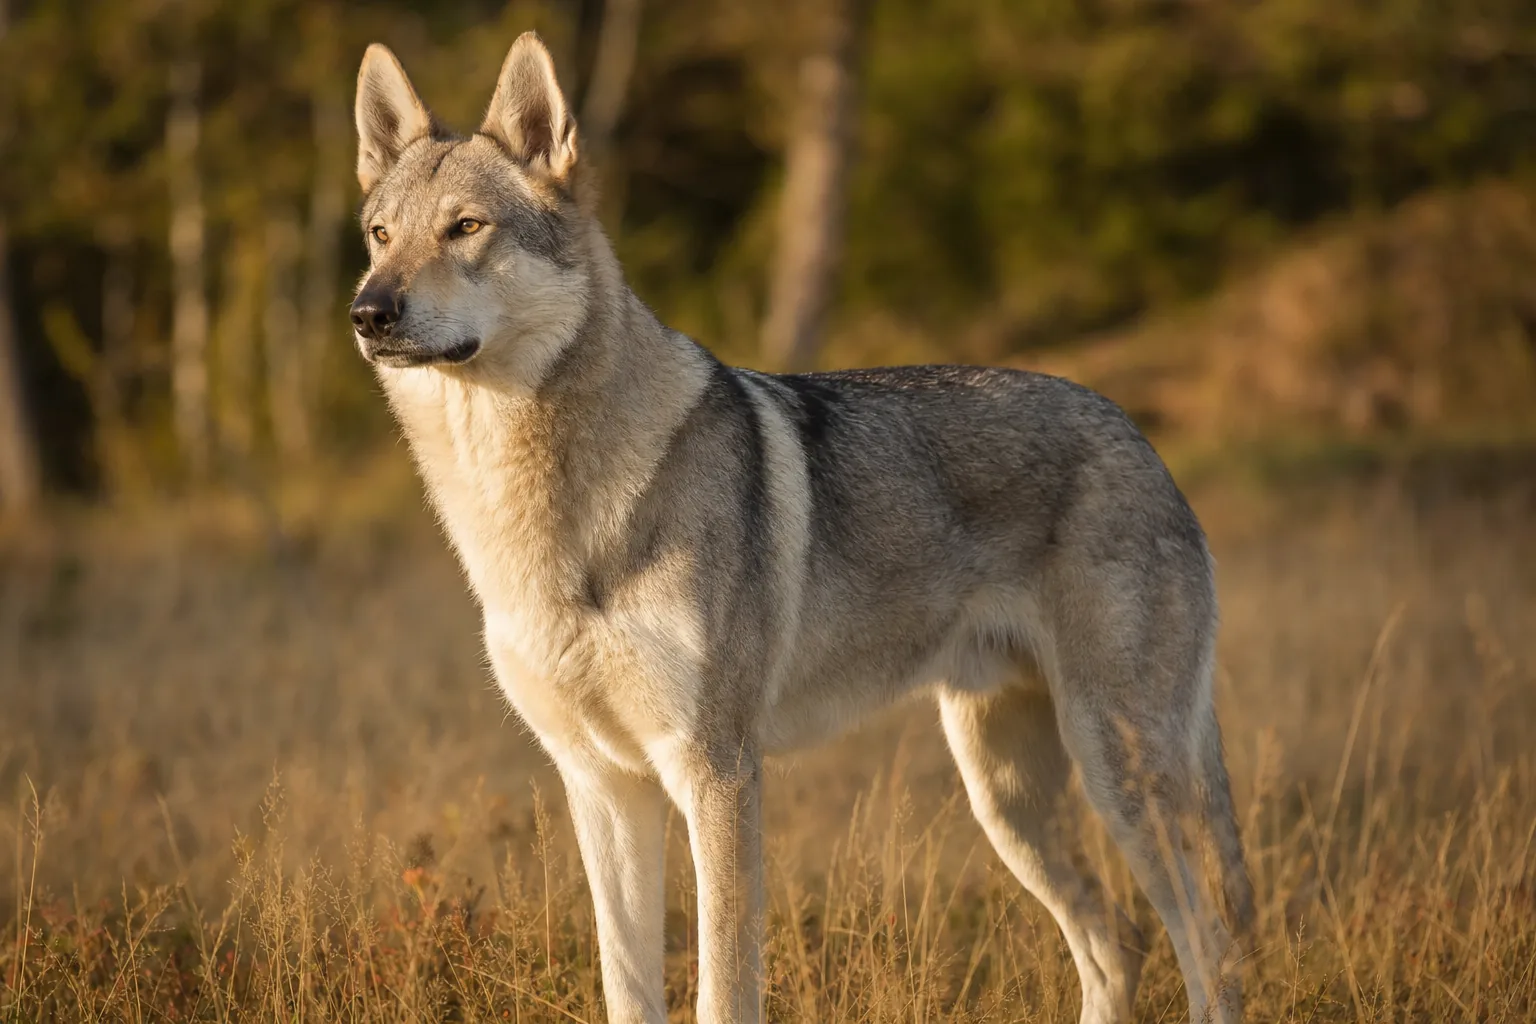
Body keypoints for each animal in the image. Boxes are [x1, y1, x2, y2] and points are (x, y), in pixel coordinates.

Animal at [348, 32, 1253, 1024]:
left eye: (466, 228)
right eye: (381, 235)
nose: (367, 311)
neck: (529, 517)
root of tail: (1141, 437)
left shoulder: (718, 773)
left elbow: (724, 986)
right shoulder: (602, 786)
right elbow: (628, 987)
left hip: (1118, 774)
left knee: (1209, 950)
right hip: (1008, 800)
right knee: (1116, 945)